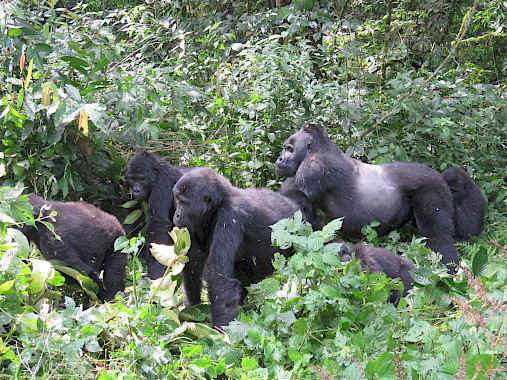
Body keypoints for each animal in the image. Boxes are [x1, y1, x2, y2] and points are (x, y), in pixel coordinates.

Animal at [173, 168, 304, 328]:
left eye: (184, 203)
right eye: (177, 200)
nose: (177, 214)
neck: (219, 203)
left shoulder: (231, 215)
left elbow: (219, 280)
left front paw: (220, 332)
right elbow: (193, 263)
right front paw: (192, 309)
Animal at [280, 123, 486, 272]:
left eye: (289, 149)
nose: (279, 159)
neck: (320, 148)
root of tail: (439, 175)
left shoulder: (313, 166)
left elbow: (301, 217)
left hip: (432, 187)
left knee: (438, 236)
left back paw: (447, 272)